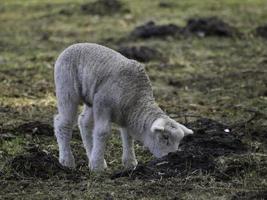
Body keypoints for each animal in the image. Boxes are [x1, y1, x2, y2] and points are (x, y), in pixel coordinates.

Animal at [53, 43, 194, 171]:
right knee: (63, 123)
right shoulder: (103, 105)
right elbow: (102, 132)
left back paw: (90, 155)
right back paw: (67, 161)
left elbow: (128, 136)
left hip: (91, 98)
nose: (172, 158)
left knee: (83, 122)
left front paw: (130, 162)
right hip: (66, 88)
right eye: (165, 137)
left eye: (179, 141)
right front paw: (97, 167)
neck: (136, 99)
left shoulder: (125, 115)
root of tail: (71, 46)